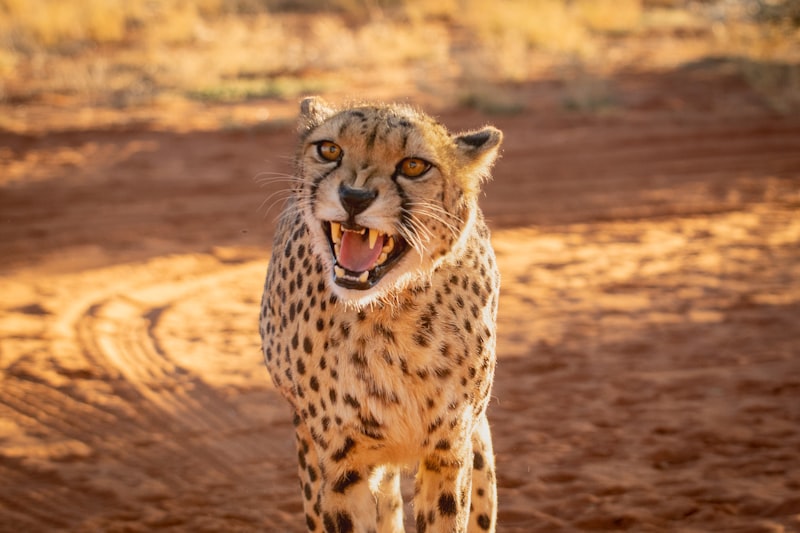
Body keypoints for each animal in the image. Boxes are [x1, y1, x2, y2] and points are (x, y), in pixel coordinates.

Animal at [259, 96, 502, 533]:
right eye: (330, 150)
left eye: (414, 166)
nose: (354, 197)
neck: (389, 310)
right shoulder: (341, 461)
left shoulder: (449, 450)